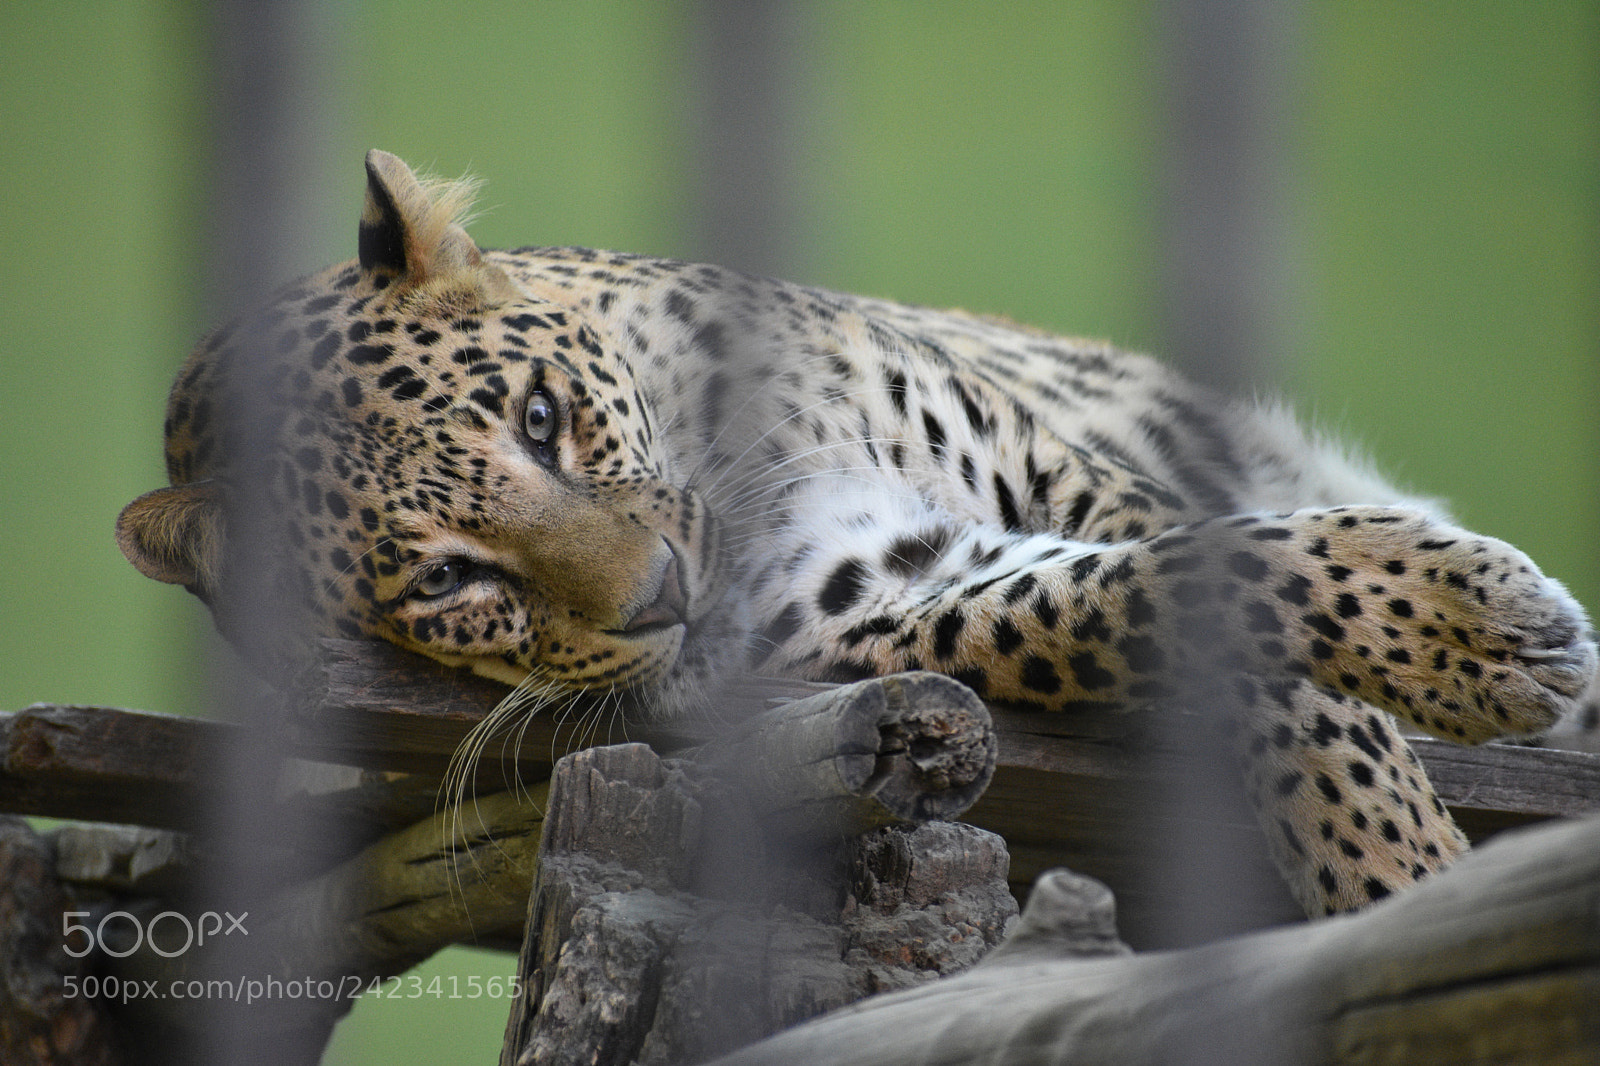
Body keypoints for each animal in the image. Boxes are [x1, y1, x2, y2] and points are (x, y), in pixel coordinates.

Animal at [118, 150, 1597, 918]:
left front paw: (1431, 783)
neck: (716, 458)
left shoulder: (1059, 470)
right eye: (446, 578)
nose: (662, 595)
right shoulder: (880, 602)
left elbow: (1264, 616)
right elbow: (1142, 606)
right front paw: (1410, 847)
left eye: (540, 418)